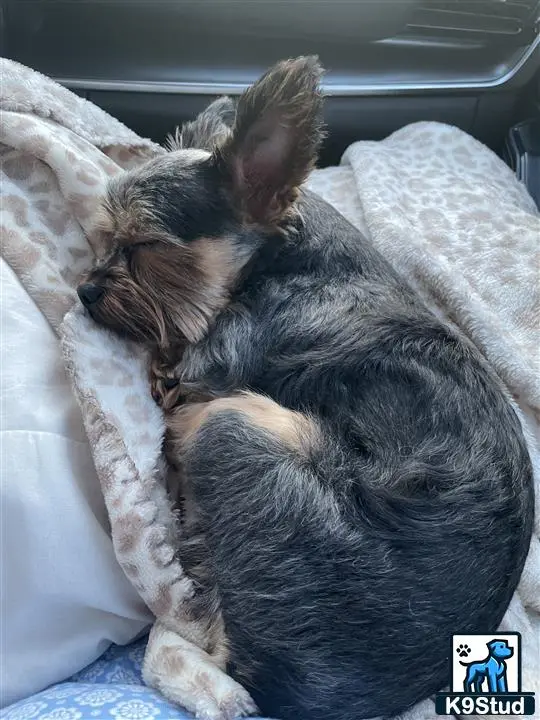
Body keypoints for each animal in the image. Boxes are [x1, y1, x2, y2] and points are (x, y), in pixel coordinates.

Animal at [78, 57, 534, 720]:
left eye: (144, 249)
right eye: (105, 240)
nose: (85, 291)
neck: (282, 253)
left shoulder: (218, 355)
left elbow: (178, 360)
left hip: (239, 424)